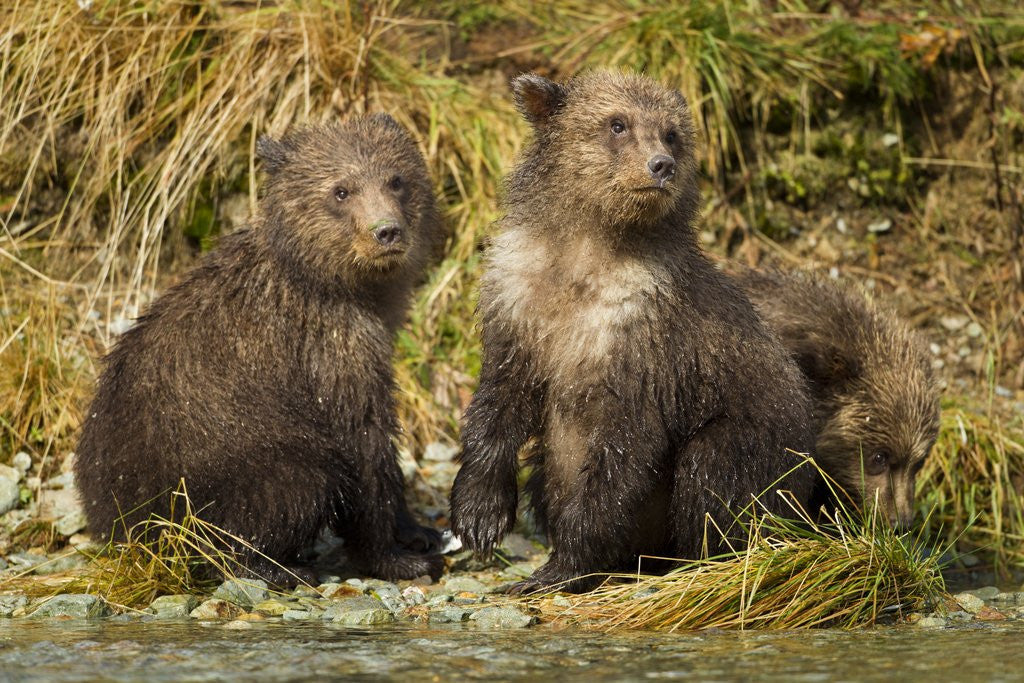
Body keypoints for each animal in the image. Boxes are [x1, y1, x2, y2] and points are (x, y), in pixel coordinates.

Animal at [74, 114, 445, 585]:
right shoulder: (326, 347)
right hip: (209, 468)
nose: (387, 231)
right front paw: (397, 557)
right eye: (341, 190)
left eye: (396, 180)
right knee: (296, 481)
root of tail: (112, 525)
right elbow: (363, 442)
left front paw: (419, 533)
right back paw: (277, 567)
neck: (340, 285)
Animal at [448, 71, 817, 593]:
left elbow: (623, 451)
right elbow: (499, 401)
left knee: (714, 471)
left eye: (671, 133)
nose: (660, 165)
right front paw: (480, 516)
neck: (586, 257)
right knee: (546, 470)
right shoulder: (520, 305)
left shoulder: (642, 341)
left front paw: (559, 567)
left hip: (763, 438)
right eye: (617, 123)